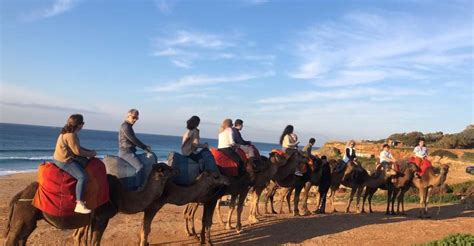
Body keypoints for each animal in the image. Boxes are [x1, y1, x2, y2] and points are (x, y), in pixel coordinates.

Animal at [3, 162, 175, 245]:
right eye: (166, 168)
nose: (176, 169)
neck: (122, 196)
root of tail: (18, 196)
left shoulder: (94, 220)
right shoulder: (101, 218)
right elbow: (95, 241)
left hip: (29, 219)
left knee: (22, 238)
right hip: (24, 214)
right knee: (13, 239)